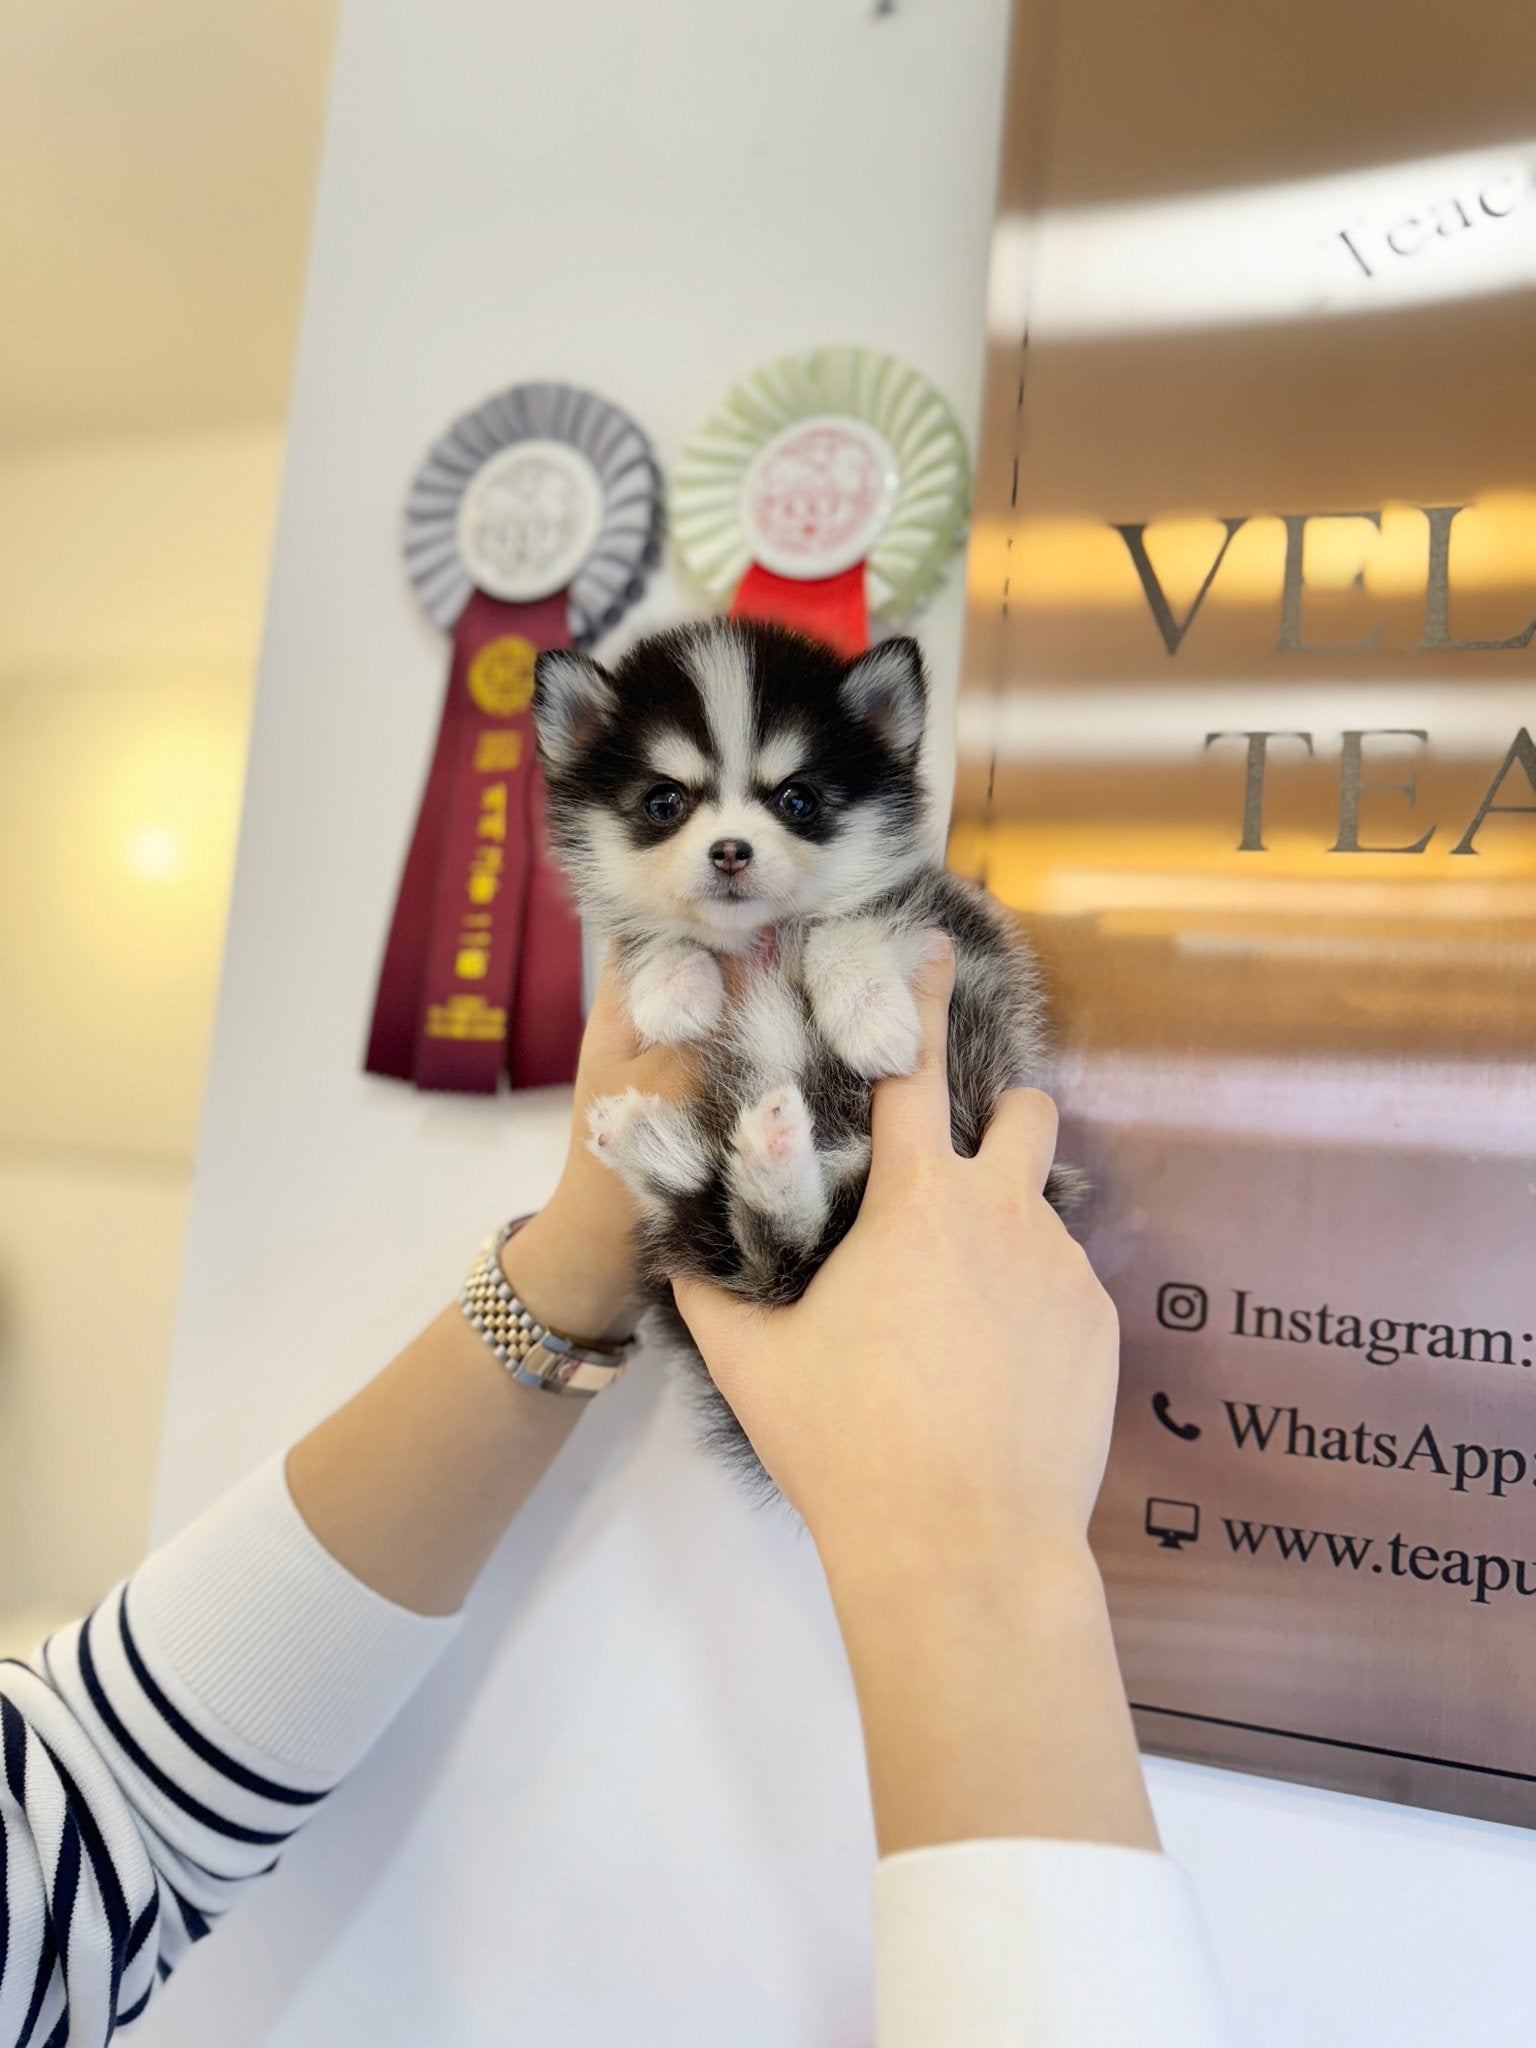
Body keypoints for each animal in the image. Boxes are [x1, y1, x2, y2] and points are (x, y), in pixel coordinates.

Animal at [536, 622, 1073, 1490]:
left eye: (798, 800)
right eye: (664, 802)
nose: (729, 850)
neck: (758, 939)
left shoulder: (952, 926)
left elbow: (844, 926)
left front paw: (868, 1011)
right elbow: (655, 934)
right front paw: (673, 982)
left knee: (781, 1241)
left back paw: (751, 1153)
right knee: (758, 1238)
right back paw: (686, 1147)